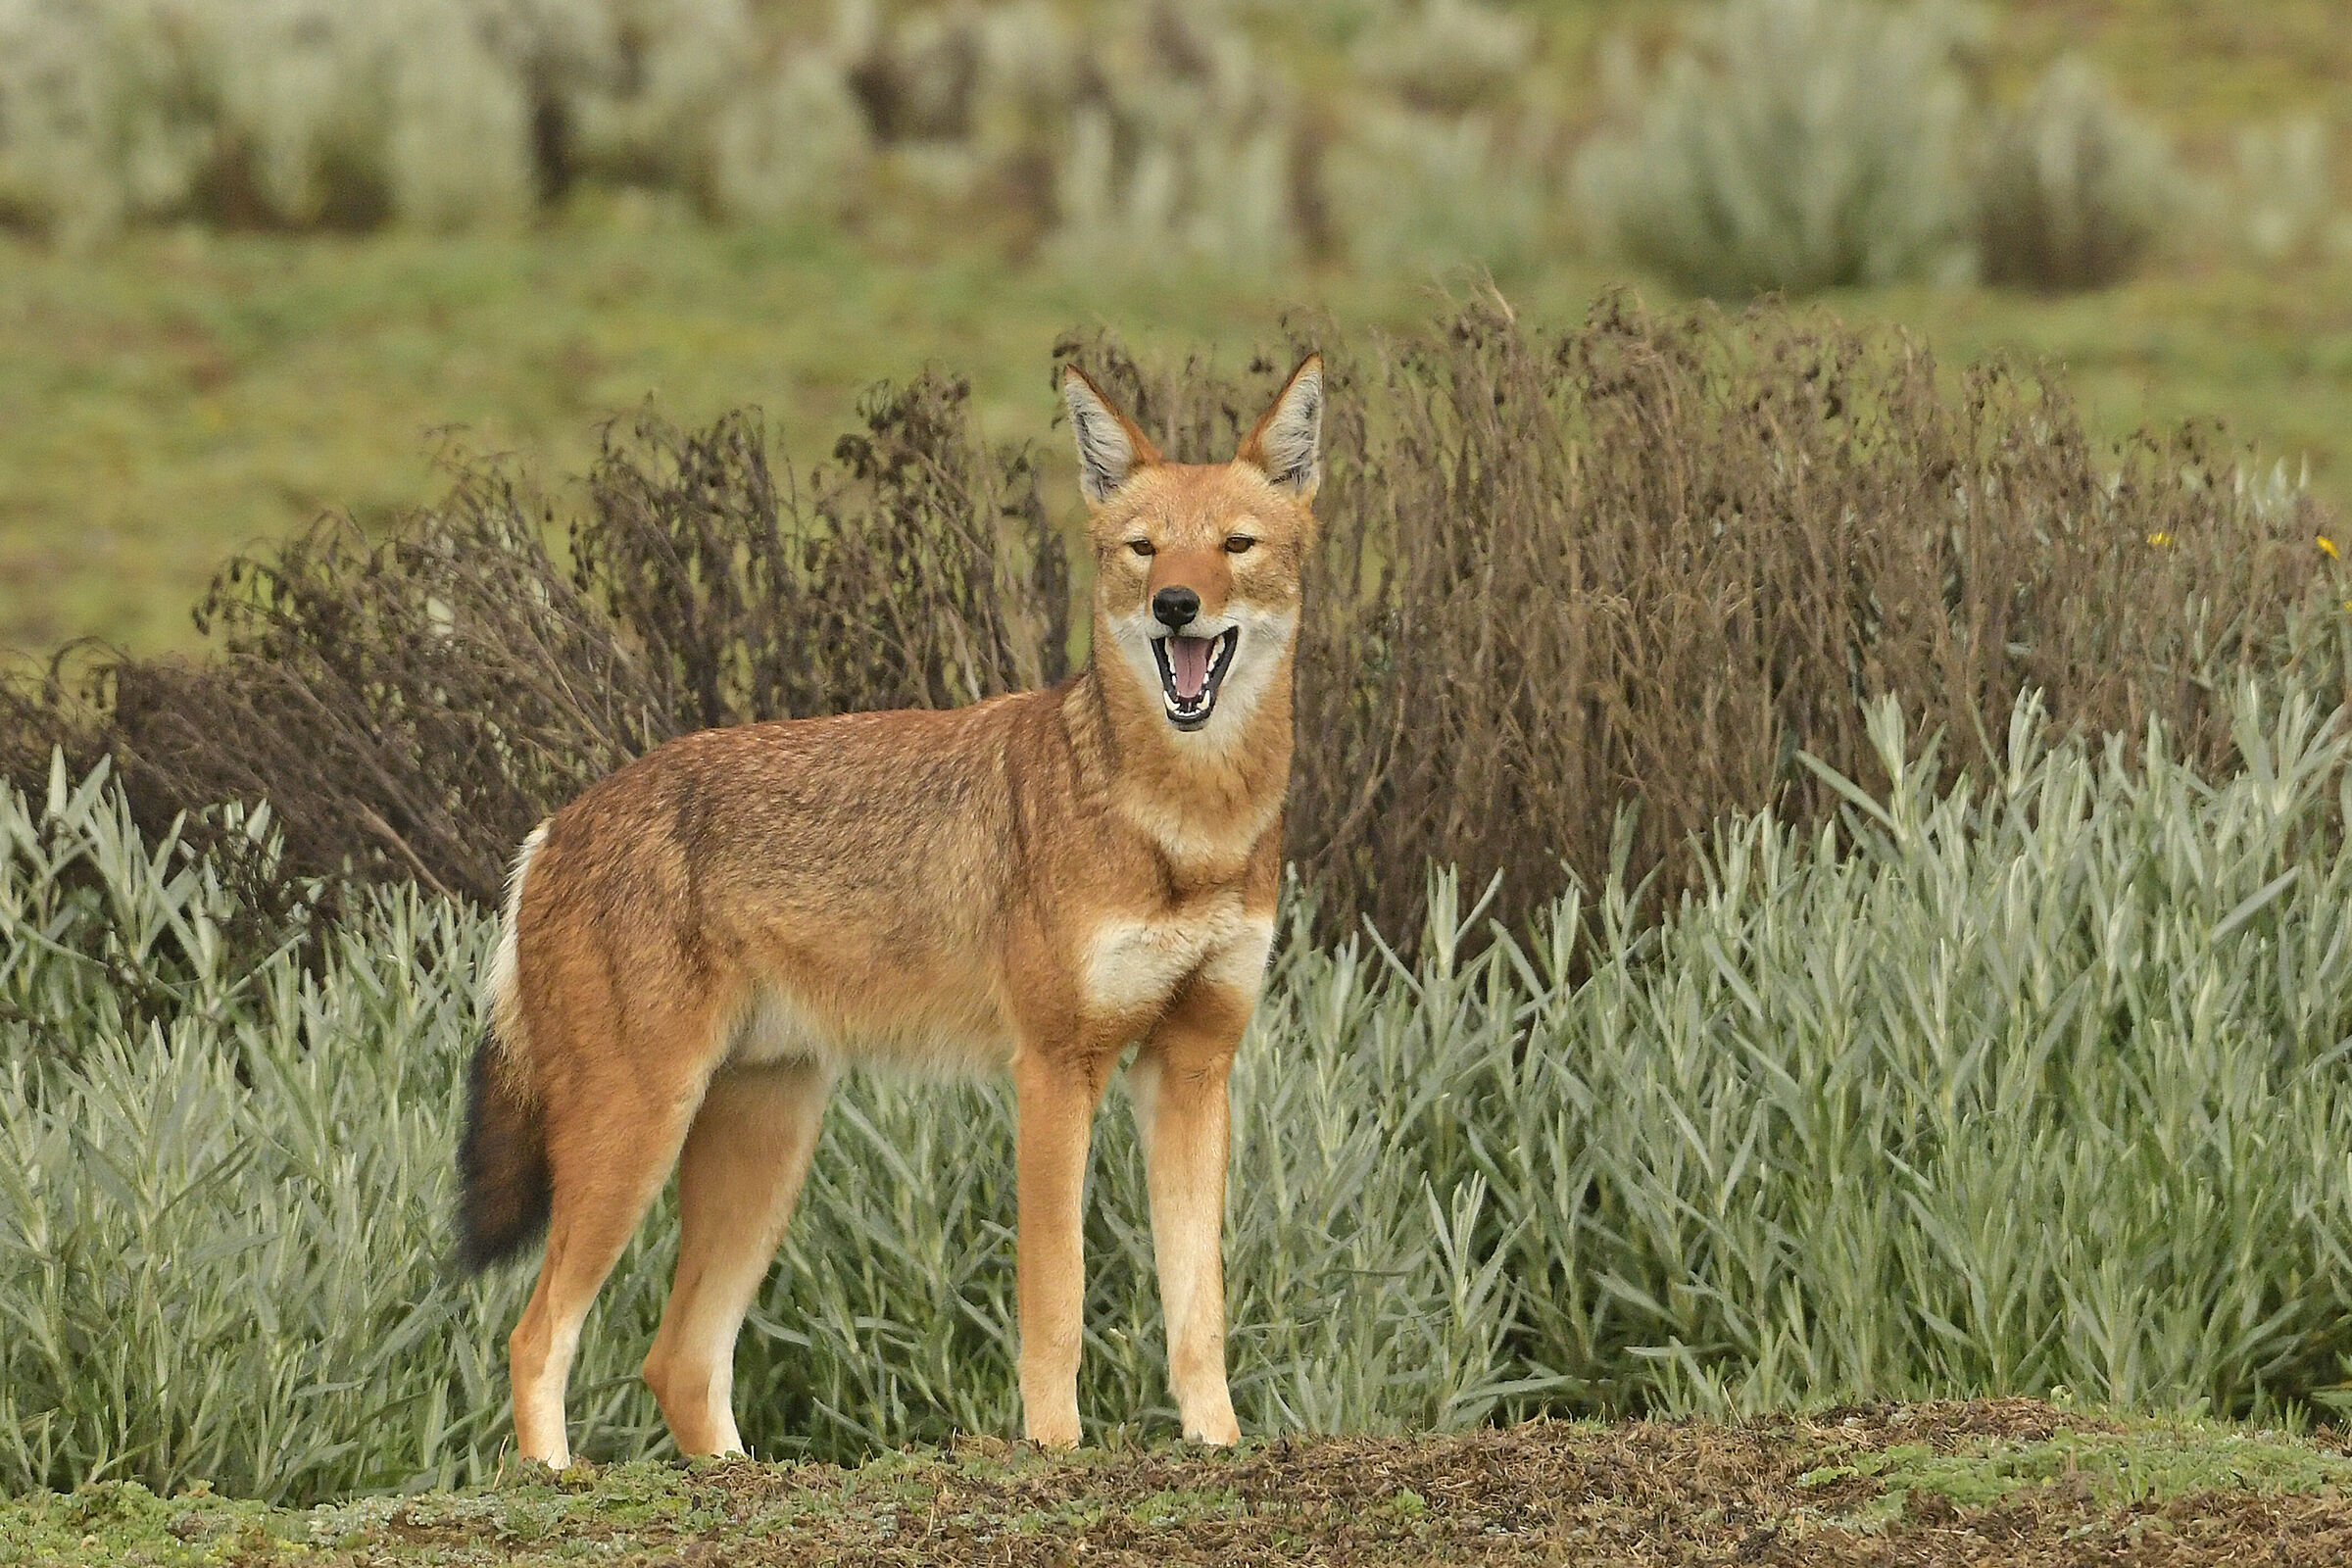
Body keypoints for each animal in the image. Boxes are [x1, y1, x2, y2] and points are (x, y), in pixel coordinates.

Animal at [455, 353, 1325, 1466]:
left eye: (1234, 547)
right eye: (1143, 549)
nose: (1176, 604)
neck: (1186, 829)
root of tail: (554, 825)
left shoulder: (1194, 1067)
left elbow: (1199, 1313)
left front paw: (1218, 1447)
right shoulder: (1054, 1072)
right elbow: (1057, 1305)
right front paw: (1054, 1454)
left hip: (766, 1145)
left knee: (679, 1360)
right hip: (636, 1134)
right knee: (535, 1338)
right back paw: (561, 1483)